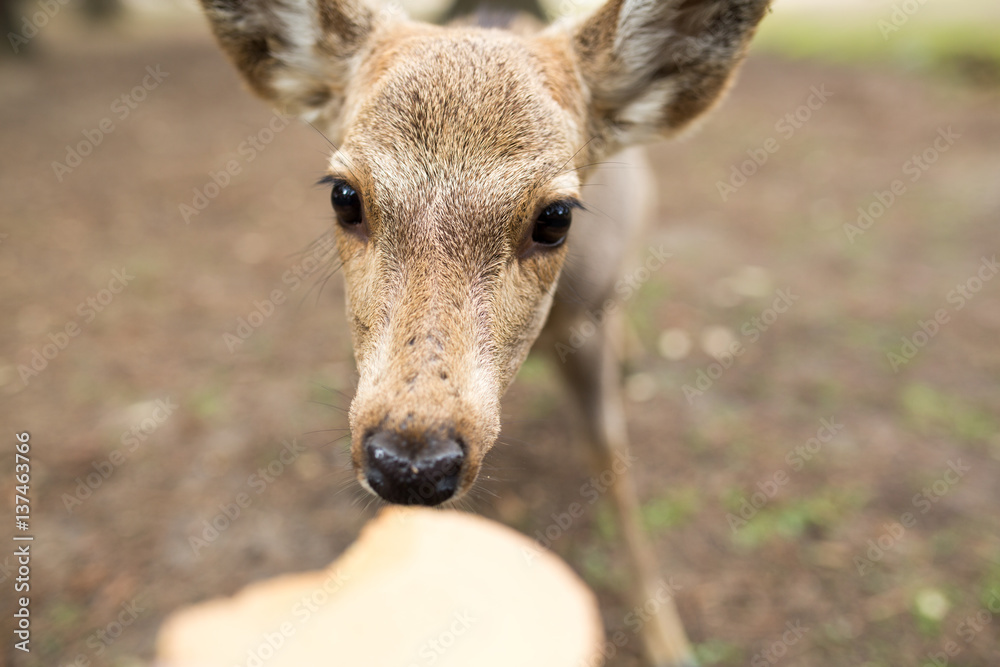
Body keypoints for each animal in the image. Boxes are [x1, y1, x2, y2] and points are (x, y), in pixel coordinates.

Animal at [197, 0, 771, 664]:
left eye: (555, 216)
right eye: (344, 196)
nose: (411, 463)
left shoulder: (588, 326)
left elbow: (611, 460)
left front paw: (668, 642)